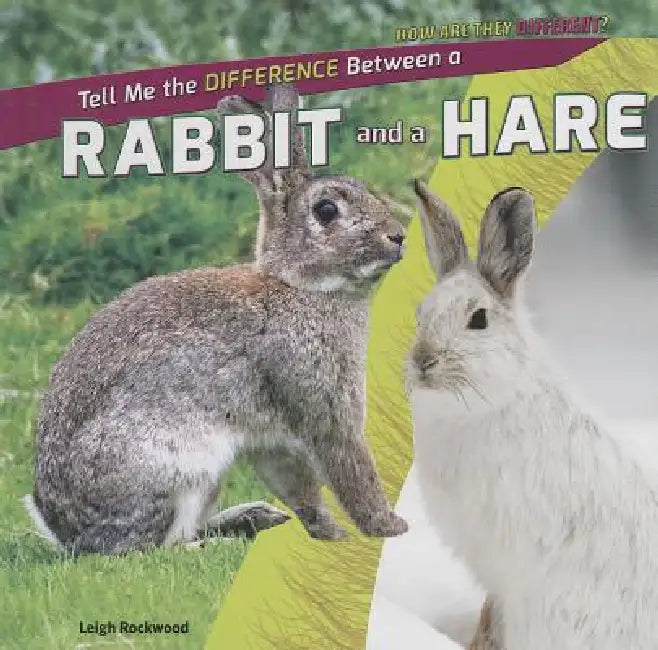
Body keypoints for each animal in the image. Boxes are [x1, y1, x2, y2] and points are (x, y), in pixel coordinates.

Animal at [24, 83, 408, 555]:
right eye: (327, 211)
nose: (398, 236)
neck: (297, 287)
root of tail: (63, 530)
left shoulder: (274, 441)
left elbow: (301, 491)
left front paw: (330, 534)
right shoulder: (323, 405)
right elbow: (351, 471)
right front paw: (390, 527)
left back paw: (256, 517)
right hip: (175, 468)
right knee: (150, 547)